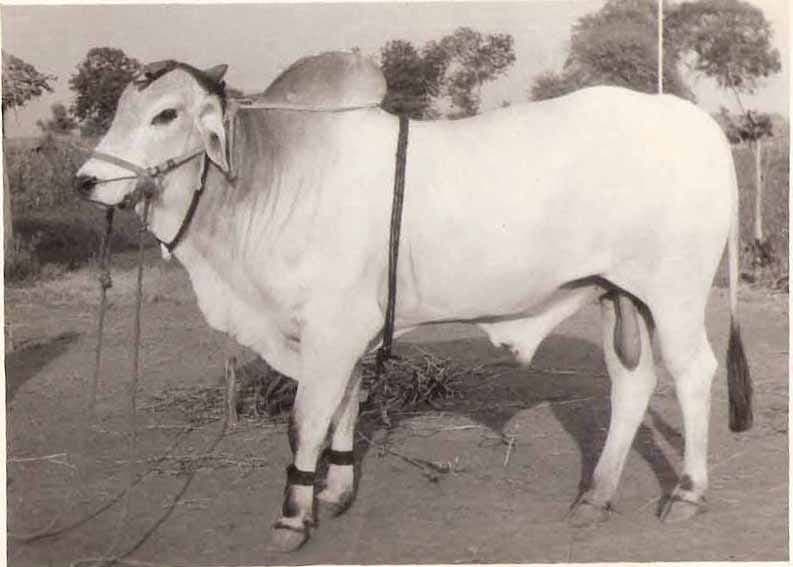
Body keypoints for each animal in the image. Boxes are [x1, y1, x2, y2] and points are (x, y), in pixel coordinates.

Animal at [75, 51, 752, 552]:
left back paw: (687, 493)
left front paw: (293, 515)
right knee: (632, 383)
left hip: (674, 292)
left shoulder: (332, 327)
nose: (86, 180)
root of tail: (694, 122)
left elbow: (306, 420)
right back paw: (596, 496)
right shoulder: (343, 333)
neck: (275, 175)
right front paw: (335, 492)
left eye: (165, 114)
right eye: (120, 108)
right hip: (620, 294)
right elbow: (344, 407)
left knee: (694, 373)